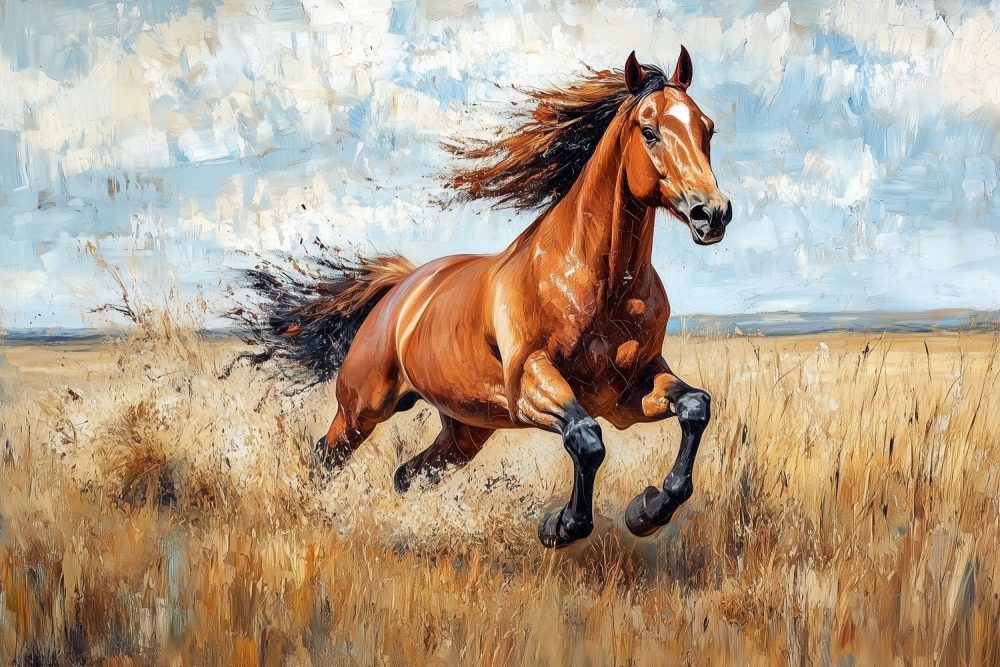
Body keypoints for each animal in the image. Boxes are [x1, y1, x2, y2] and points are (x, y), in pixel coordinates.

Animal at [238, 48, 733, 548]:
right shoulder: (531, 383)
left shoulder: (629, 391)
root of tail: (402, 287)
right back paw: (310, 510)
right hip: (362, 408)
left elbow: (695, 406)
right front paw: (561, 526)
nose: (711, 213)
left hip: (465, 432)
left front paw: (648, 509)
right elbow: (586, 438)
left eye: (707, 128)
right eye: (649, 131)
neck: (605, 285)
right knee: (327, 454)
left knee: (407, 474)